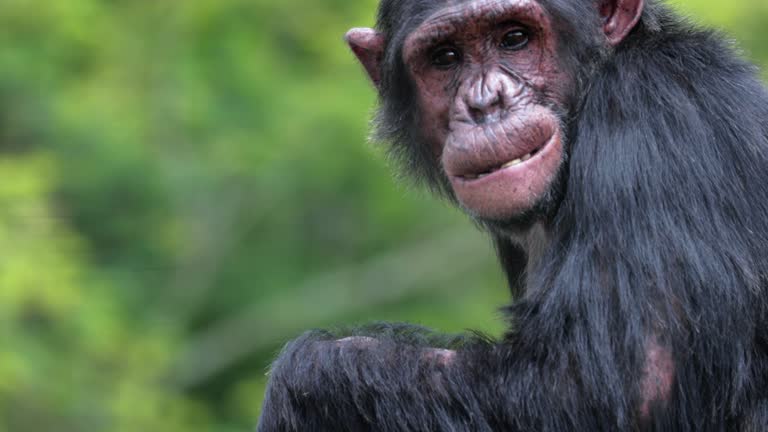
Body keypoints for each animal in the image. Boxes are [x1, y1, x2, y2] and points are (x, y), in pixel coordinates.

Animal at [256, 0, 768, 430]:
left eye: (515, 38)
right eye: (445, 57)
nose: (486, 103)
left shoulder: (656, 116)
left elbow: (608, 391)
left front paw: (304, 375)